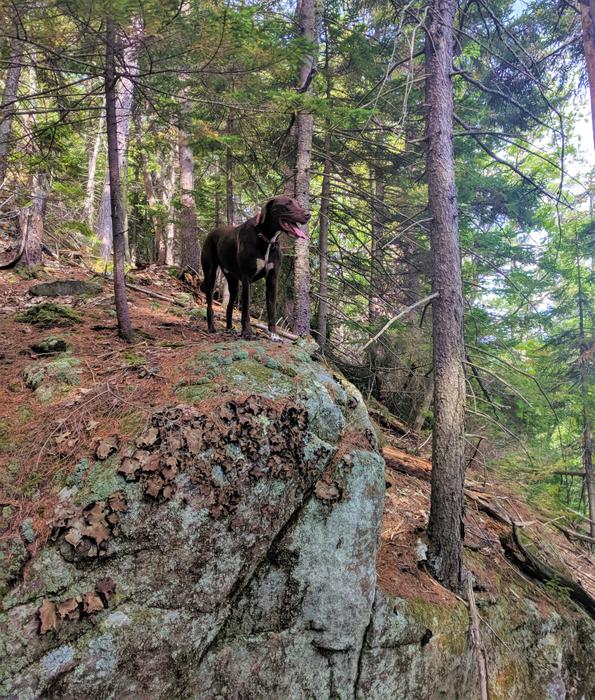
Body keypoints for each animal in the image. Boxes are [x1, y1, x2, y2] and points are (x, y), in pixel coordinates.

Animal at [201, 196, 312, 340]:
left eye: (297, 203)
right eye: (287, 204)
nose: (308, 214)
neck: (267, 238)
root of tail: (212, 232)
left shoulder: (272, 279)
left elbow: (271, 310)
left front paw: (274, 335)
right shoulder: (247, 278)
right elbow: (246, 310)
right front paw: (247, 332)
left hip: (233, 282)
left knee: (230, 305)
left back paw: (229, 328)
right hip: (210, 274)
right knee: (209, 302)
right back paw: (211, 327)